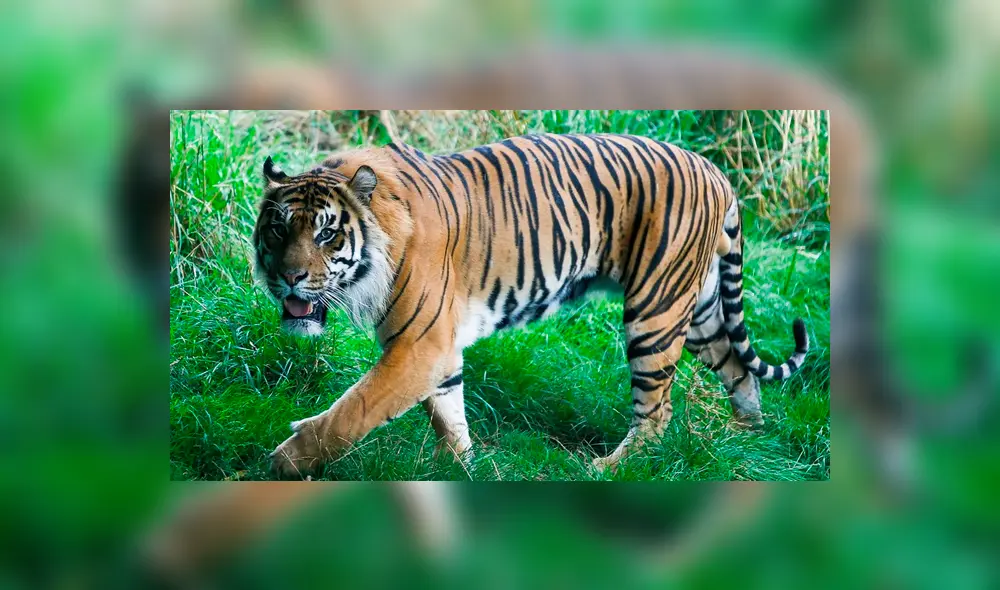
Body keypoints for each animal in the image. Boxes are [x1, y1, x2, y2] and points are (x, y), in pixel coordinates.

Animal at [253, 133, 810, 479]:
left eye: (326, 233)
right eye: (278, 229)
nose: (287, 277)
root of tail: (717, 172)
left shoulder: (418, 347)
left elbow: (352, 411)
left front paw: (284, 462)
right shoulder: (438, 350)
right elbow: (449, 416)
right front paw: (460, 470)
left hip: (657, 310)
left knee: (658, 410)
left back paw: (606, 469)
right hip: (699, 311)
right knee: (740, 368)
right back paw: (745, 440)